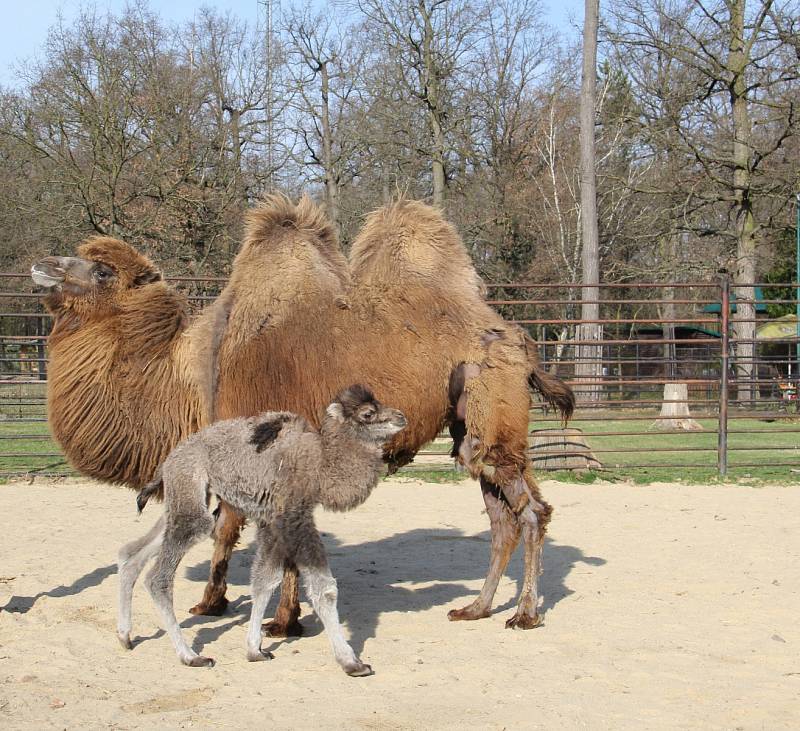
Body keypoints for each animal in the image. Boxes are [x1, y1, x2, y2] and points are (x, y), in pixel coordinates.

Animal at [29, 194, 568, 636]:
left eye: (102, 271)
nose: (43, 264)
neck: (195, 377)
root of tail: (518, 337)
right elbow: (238, 527)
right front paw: (223, 605)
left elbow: (245, 529)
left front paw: (275, 621)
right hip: (470, 429)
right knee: (501, 514)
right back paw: (476, 608)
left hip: (491, 408)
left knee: (530, 511)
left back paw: (524, 614)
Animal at [114, 386, 406, 676]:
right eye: (368, 413)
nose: (401, 416)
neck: (319, 464)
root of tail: (169, 460)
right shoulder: (294, 517)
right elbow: (324, 589)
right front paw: (352, 662)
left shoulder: (272, 521)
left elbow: (265, 580)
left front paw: (255, 650)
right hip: (191, 495)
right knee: (159, 576)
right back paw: (190, 656)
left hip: (183, 498)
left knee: (132, 552)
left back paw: (125, 637)